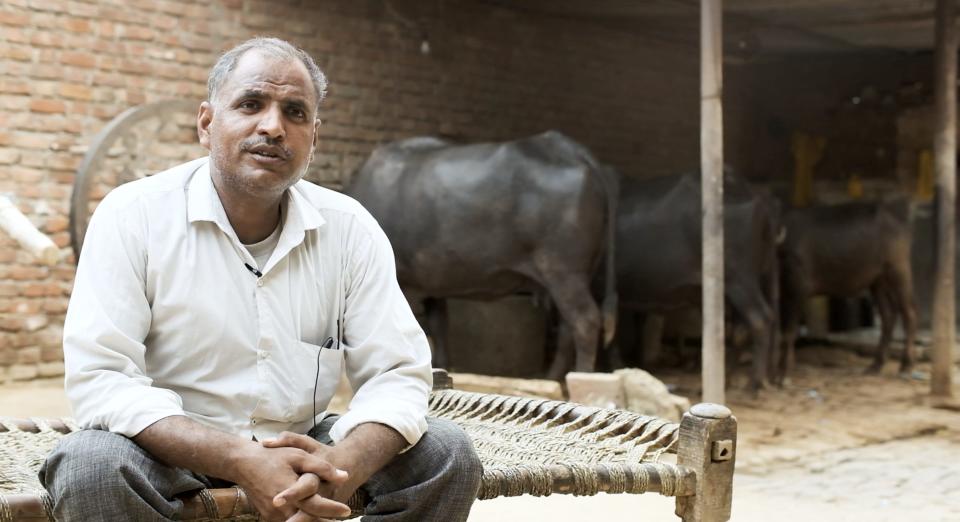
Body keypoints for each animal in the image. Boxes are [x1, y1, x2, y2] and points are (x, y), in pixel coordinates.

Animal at [344, 129, 616, 374]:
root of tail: (572, 151)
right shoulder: (432, 283)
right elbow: (439, 325)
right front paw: (442, 366)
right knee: (567, 328)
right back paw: (552, 379)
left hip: (563, 272)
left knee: (585, 321)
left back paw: (580, 375)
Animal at [780, 197, 916, 376]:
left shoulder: (797, 287)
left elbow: (788, 331)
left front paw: (785, 370)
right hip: (877, 281)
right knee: (888, 316)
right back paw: (876, 364)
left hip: (898, 270)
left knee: (909, 314)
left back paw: (906, 364)